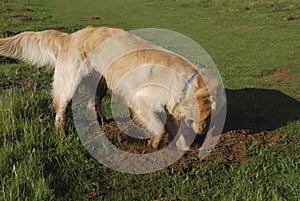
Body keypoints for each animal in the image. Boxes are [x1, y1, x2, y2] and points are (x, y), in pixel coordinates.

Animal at [0, 26, 217, 150]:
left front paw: (183, 149)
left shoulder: (170, 109)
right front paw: (154, 144)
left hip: (100, 84)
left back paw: (102, 121)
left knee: (91, 105)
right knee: (60, 110)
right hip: (69, 84)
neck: (185, 83)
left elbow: (173, 129)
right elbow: (160, 128)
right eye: (207, 117)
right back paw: (61, 133)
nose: (204, 133)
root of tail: (70, 37)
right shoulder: (139, 101)